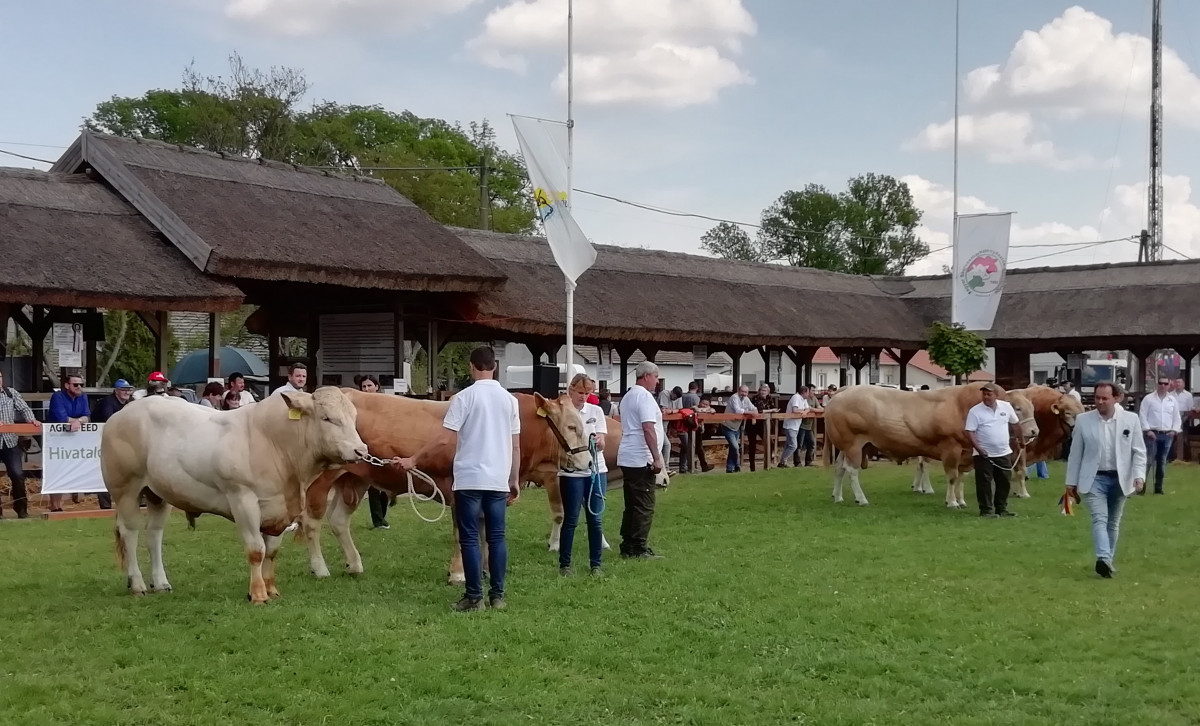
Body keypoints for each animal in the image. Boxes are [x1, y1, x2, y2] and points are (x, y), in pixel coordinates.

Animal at [101, 388, 367, 602]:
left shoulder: (278, 508)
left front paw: (271, 590)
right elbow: (256, 550)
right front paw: (258, 594)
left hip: (158, 493)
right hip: (126, 489)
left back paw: (161, 583)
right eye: (327, 418)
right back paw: (138, 584)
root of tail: (122, 413)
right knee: (130, 533)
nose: (361, 450)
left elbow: (271, 551)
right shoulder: (243, 499)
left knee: (154, 534)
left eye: (354, 417)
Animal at [300, 391, 590, 583]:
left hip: (355, 478)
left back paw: (354, 564)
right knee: (310, 522)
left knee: (338, 520)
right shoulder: (458, 490)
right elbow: (462, 533)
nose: (588, 461)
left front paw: (485, 569)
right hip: (321, 480)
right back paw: (320, 568)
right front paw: (459, 573)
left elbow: (484, 532)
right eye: (572, 426)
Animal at [820, 381, 1036, 506]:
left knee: (839, 468)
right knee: (852, 471)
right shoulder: (951, 448)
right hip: (853, 444)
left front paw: (961, 500)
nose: (1035, 431)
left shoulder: (967, 453)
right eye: (1017, 408)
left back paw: (838, 497)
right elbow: (952, 476)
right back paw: (861, 498)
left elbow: (960, 478)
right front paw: (952, 502)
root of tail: (844, 391)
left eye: (1032, 407)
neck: (963, 406)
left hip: (846, 446)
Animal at [907, 384, 1089, 499]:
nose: (1033, 431)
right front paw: (1023, 493)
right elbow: (1020, 470)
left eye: (1082, 410)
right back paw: (927, 488)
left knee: (920, 465)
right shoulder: (1019, 449)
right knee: (925, 465)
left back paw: (918, 487)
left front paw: (1014, 491)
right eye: (1068, 412)